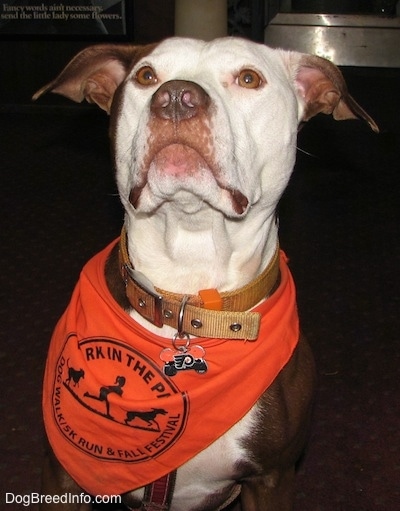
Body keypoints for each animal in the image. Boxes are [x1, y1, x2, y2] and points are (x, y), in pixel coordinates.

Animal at [35, 37, 378, 511]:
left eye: (249, 78)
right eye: (146, 76)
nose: (177, 97)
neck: (187, 296)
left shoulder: (271, 478)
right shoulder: (65, 476)